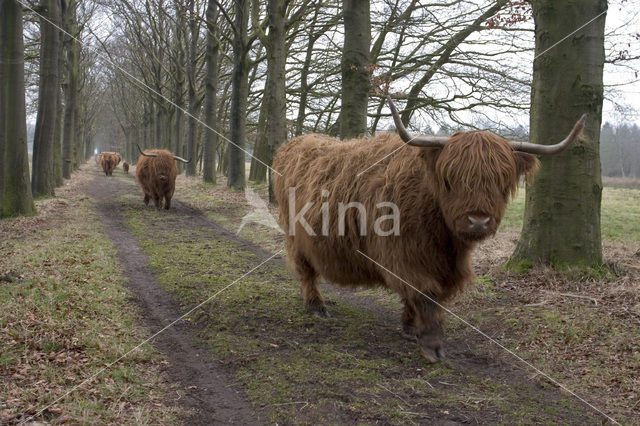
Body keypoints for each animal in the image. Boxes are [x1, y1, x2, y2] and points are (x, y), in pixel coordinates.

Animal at [272, 97, 588, 362]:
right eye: (451, 179)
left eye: (502, 181)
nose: (478, 220)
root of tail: (295, 143)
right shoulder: (405, 256)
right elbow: (424, 294)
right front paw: (432, 345)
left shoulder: (446, 266)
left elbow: (427, 299)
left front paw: (410, 327)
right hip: (295, 235)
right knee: (305, 271)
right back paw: (316, 306)